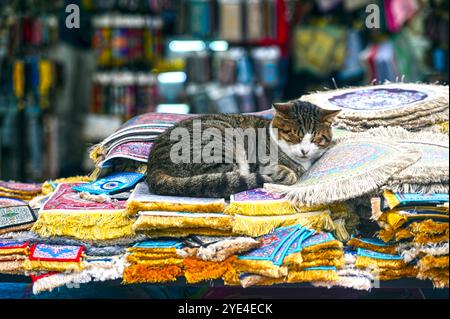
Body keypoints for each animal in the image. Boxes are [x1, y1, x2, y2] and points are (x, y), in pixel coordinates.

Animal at [146, 101, 340, 199]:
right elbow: (285, 172)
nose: (304, 151)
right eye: (294, 135)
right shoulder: (266, 161)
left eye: (315, 138)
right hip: (219, 147)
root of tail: (154, 165)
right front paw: (289, 174)